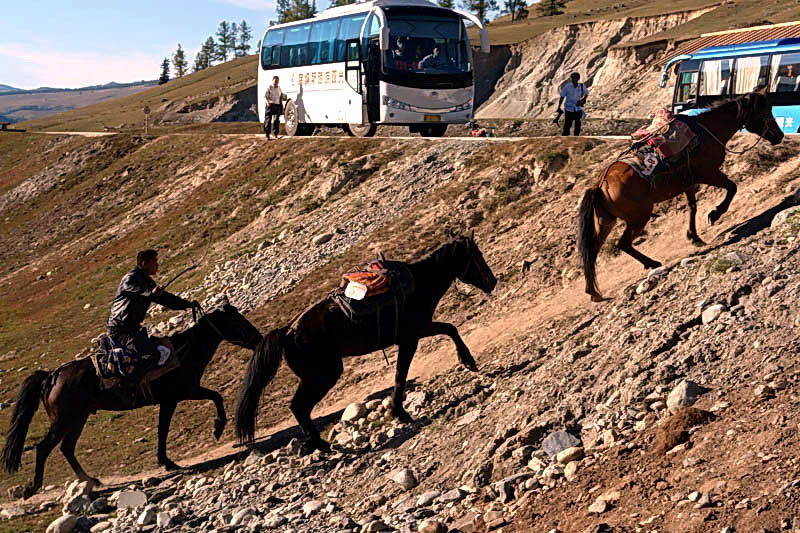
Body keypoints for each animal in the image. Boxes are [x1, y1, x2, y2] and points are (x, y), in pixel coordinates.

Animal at [1, 304, 260, 498]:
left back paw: (91, 480)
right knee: (45, 447)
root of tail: (52, 376)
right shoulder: (179, 395)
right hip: (64, 420)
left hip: (78, 419)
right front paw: (215, 430)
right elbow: (205, 402)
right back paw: (32, 487)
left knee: (67, 448)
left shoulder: (178, 396)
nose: (258, 339)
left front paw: (168, 460)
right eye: (237, 322)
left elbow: (177, 420)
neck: (184, 351)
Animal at [234, 237, 494, 454]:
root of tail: (288, 332)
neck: (420, 283)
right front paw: (401, 412)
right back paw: (322, 444)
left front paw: (467, 361)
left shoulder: (419, 331)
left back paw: (316, 444)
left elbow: (448, 329)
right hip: (323, 375)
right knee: (299, 406)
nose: (492, 282)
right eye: (477, 255)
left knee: (300, 408)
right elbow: (402, 373)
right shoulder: (411, 336)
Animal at [580, 90, 784, 300]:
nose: (780, 135)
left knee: (592, 251)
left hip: (606, 221)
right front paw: (714, 214)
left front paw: (694, 236)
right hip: (638, 218)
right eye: (765, 111)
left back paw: (593, 292)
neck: (708, 130)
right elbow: (732, 188)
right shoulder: (709, 173)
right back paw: (652, 263)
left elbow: (693, 207)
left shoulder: (689, 183)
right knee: (622, 244)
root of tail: (599, 185)